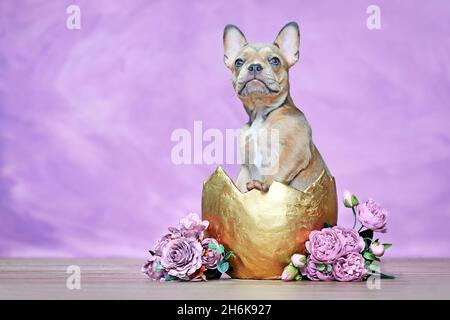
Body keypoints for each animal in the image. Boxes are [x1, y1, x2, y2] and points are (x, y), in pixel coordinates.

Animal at [224, 23, 330, 192]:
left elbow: (278, 171)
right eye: (238, 62)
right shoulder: (246, 165)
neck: (261, 112)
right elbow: (240, 186)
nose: (254, 66)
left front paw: (263, 185)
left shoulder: (294, 150)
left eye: (275, 61)